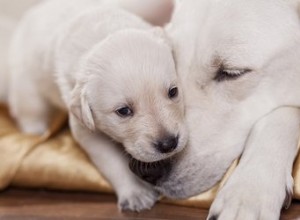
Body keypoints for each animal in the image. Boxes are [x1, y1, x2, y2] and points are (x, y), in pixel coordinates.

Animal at [6, 0, 188, 212]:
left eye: (173, 92)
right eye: (123, 111)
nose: (168, 144)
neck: (102, 33)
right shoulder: (85, 128)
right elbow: (112, 162)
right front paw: (135, 193)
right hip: (27, 85)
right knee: (29, 110)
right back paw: (36, 131)